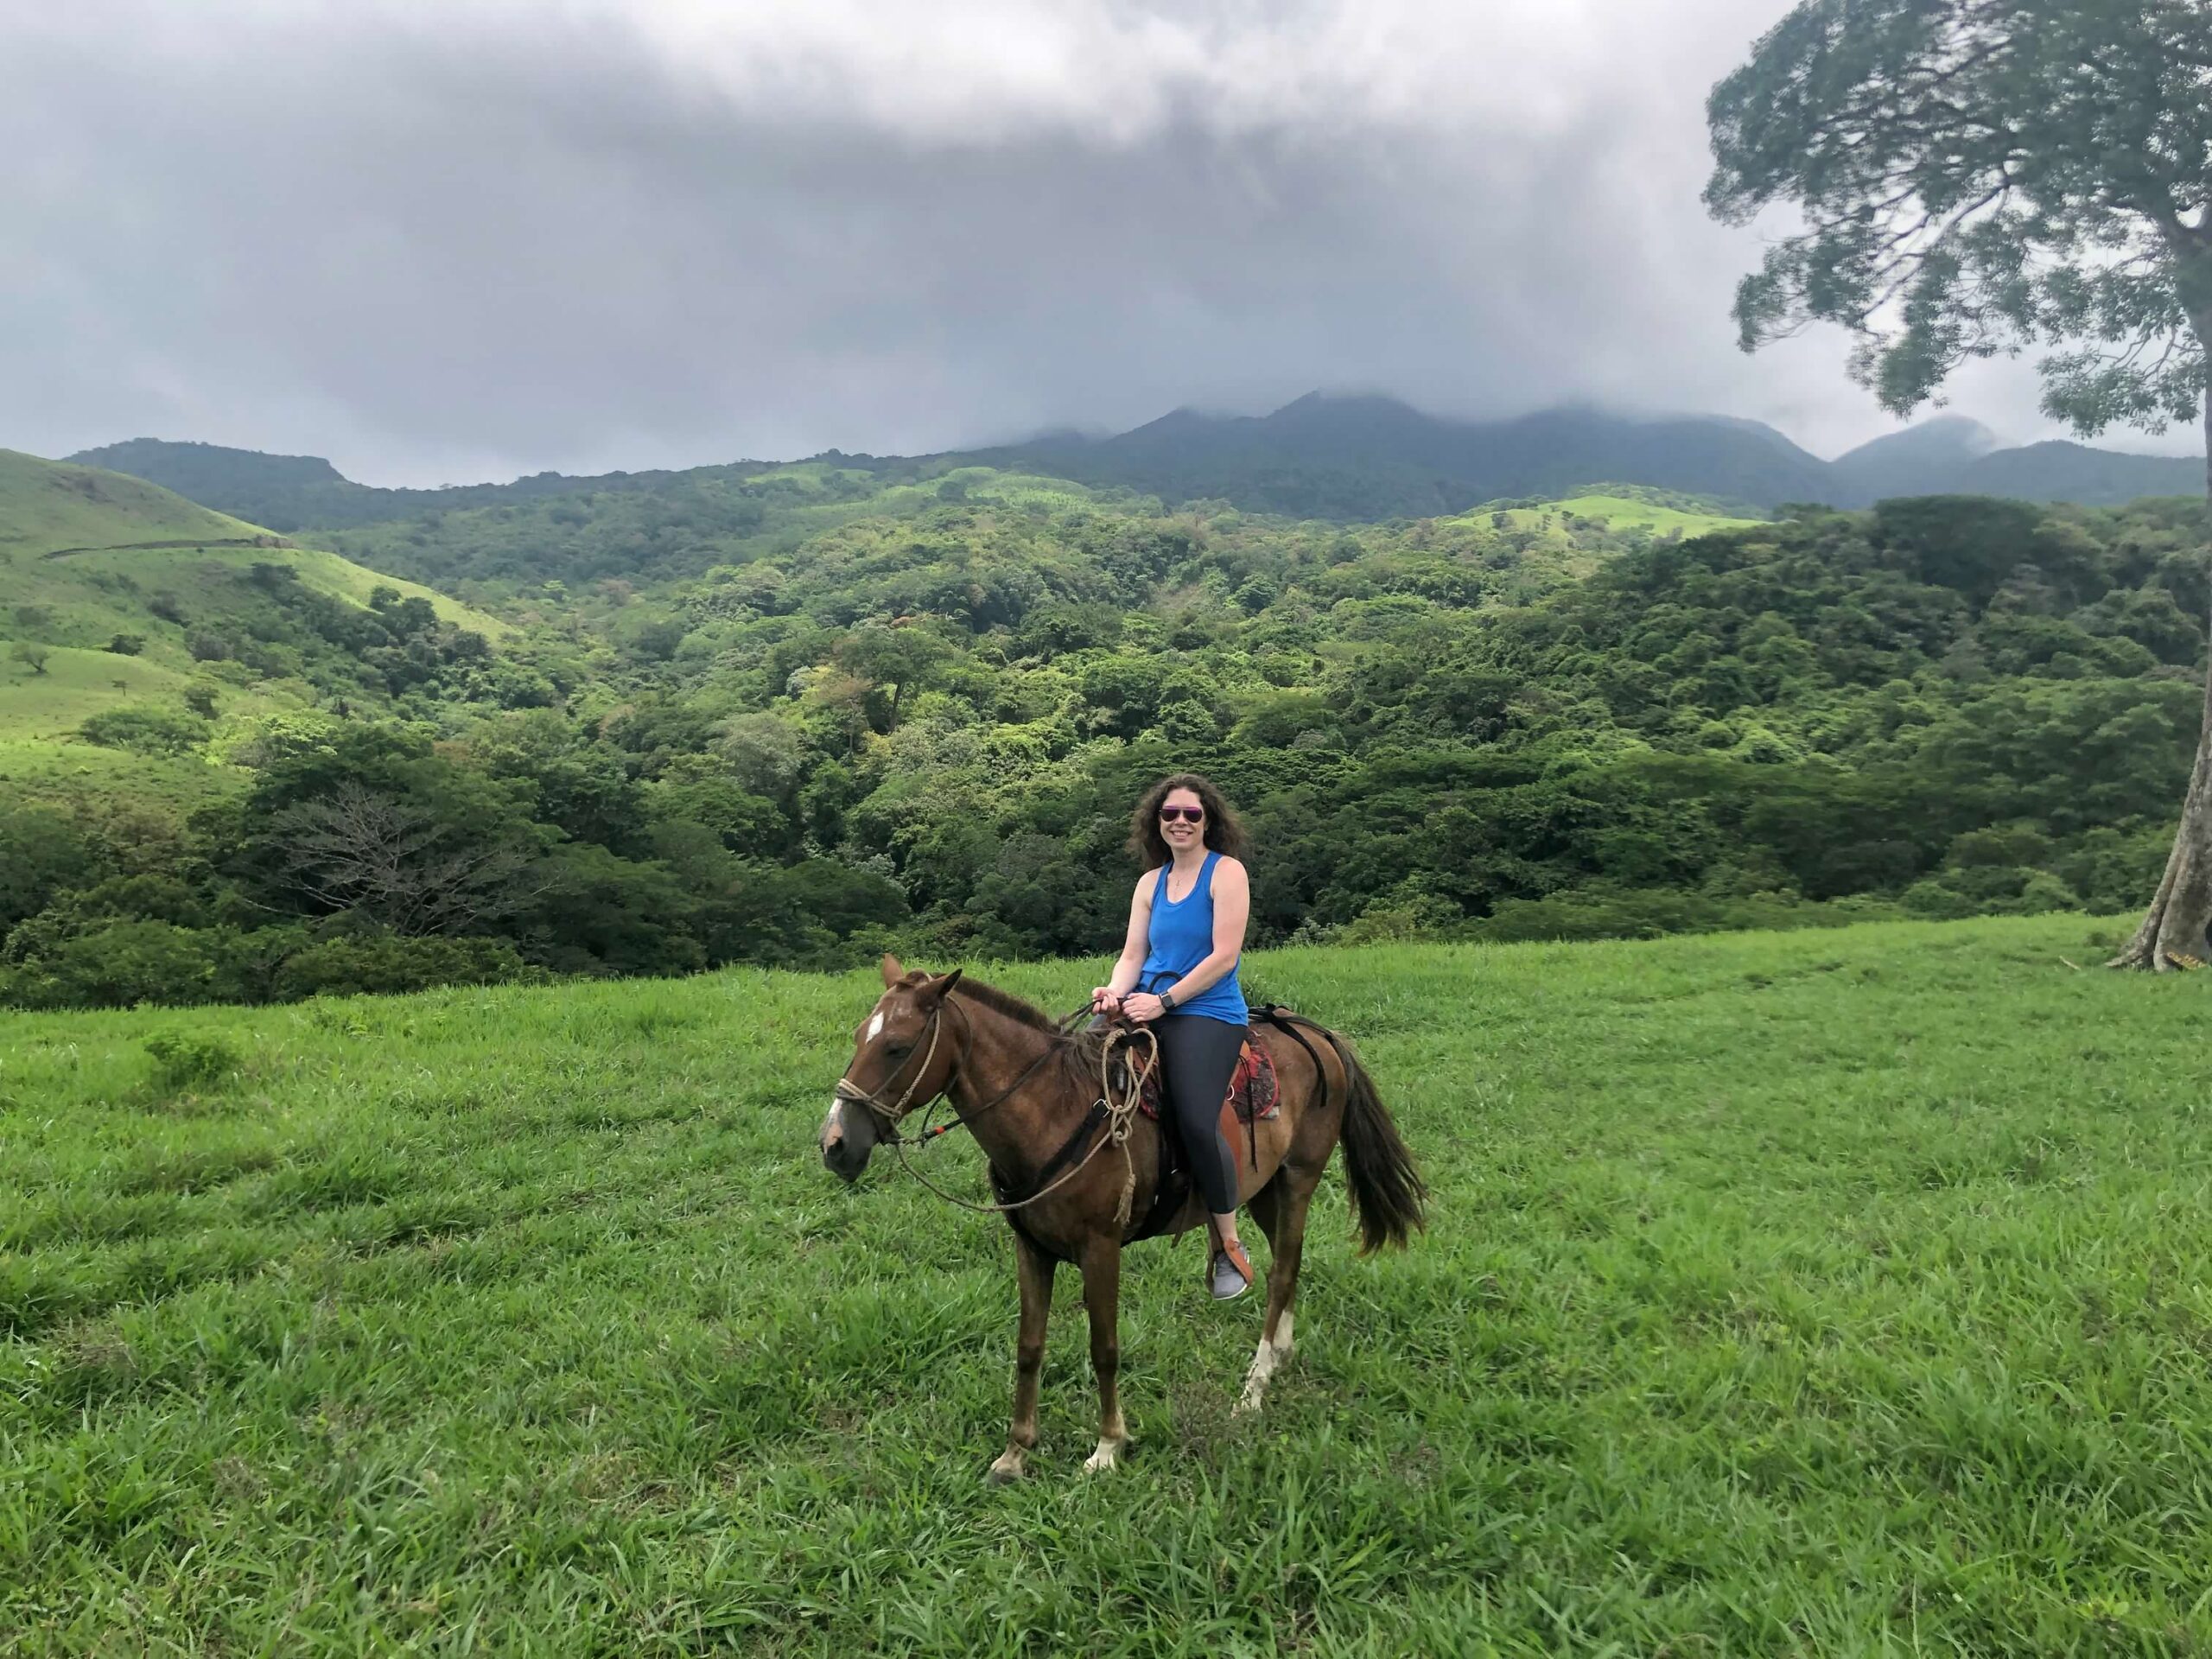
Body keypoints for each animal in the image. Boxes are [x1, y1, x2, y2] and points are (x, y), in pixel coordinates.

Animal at [823, 955, 1424, 1486]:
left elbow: (1104, 1349)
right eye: (857, 1038)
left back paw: (1254, 1388)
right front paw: (1015, 1454)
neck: (1053, 1107)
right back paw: (1278, 1353)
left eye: (897, 1047)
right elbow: (1028, 1347)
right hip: (1262, 1188)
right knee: (1285, 1263)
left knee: (1282, 1275)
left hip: (1299, 1178)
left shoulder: (1100, 1248)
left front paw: (1108, 1447)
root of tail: (1311, 1032)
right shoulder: (1031, 1247)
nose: (834, 1145)